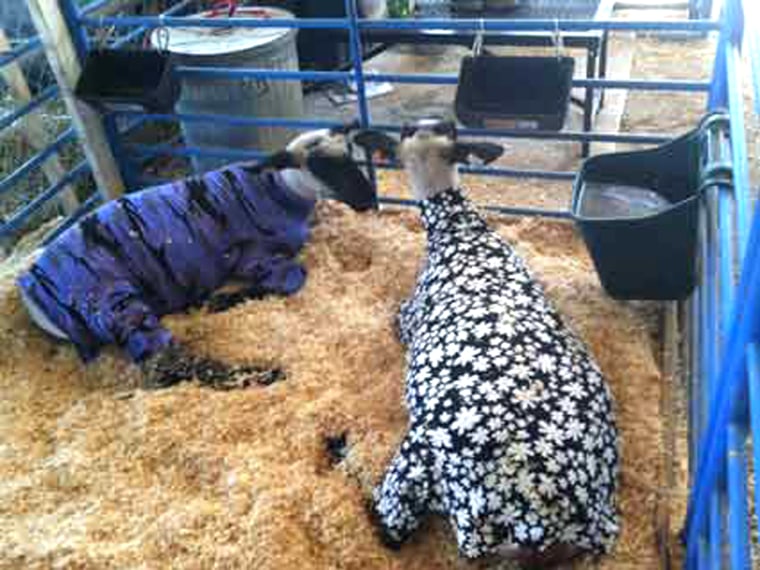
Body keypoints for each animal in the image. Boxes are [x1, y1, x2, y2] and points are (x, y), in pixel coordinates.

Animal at [16, 122, 376, 388]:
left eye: (351, 155)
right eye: (320, 167)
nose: (369, 200)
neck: (279, 189)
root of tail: (30, 290)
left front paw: (211, 302)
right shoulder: (256, 255)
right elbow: (291, 279)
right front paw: (221, 301)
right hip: (112, 303)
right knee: (162, 366)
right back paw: (260, 374)